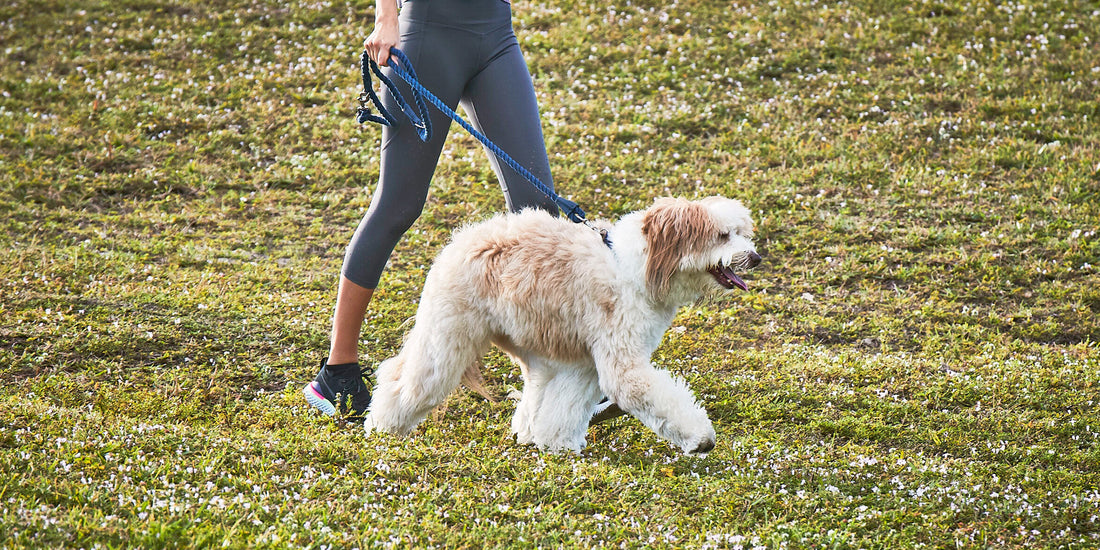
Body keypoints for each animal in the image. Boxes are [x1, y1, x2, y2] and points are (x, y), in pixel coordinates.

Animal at [365, 195, 761, 453]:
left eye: (742, 232)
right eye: (723, 235)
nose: (755, 257)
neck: (638, 267)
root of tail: (464, 237)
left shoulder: (585, 362)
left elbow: (566, 406)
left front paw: (559, 443)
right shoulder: (621, 362)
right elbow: (648, 394)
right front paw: (700, 438)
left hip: (531, 341)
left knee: (535, 389)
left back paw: (527, 431)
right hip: (447, 341)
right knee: (406, 381)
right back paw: (382, 426)